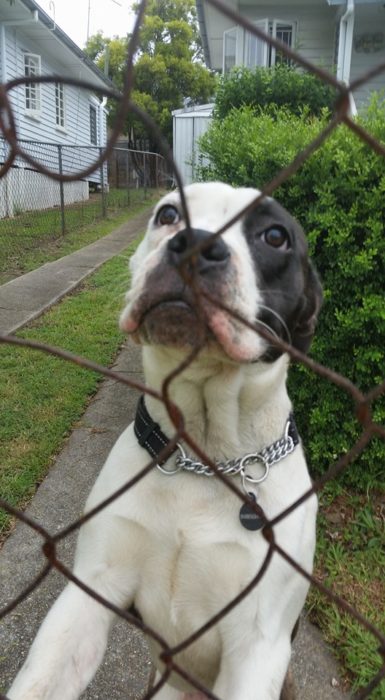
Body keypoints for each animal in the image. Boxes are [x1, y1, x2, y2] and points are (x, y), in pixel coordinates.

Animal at [8, 183, 320, 696]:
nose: (194, 243)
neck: (204, 454)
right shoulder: (90, 590)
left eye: (275, 236)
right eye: (168, 214)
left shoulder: (258, 646)